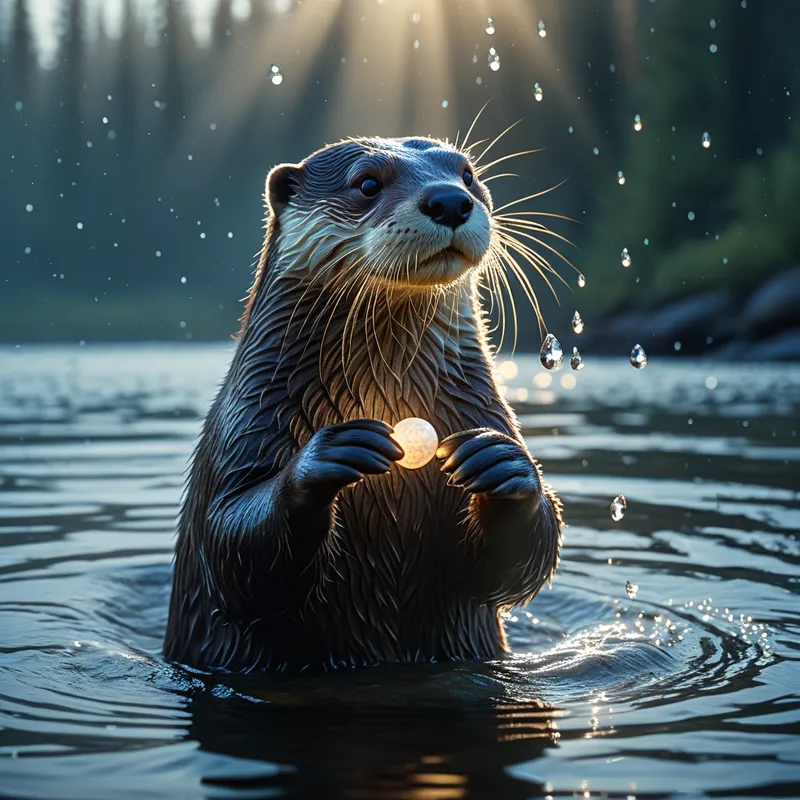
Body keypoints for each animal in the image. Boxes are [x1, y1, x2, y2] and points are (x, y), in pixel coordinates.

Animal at [164, 136, 563, 672]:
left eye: (467, 175)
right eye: (368, 183)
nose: (450, 201)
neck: (389, 390)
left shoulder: (482, 408)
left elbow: (514, 567)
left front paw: (503, 463)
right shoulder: (245, 425)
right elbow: (231, 546)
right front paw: (329, 453)